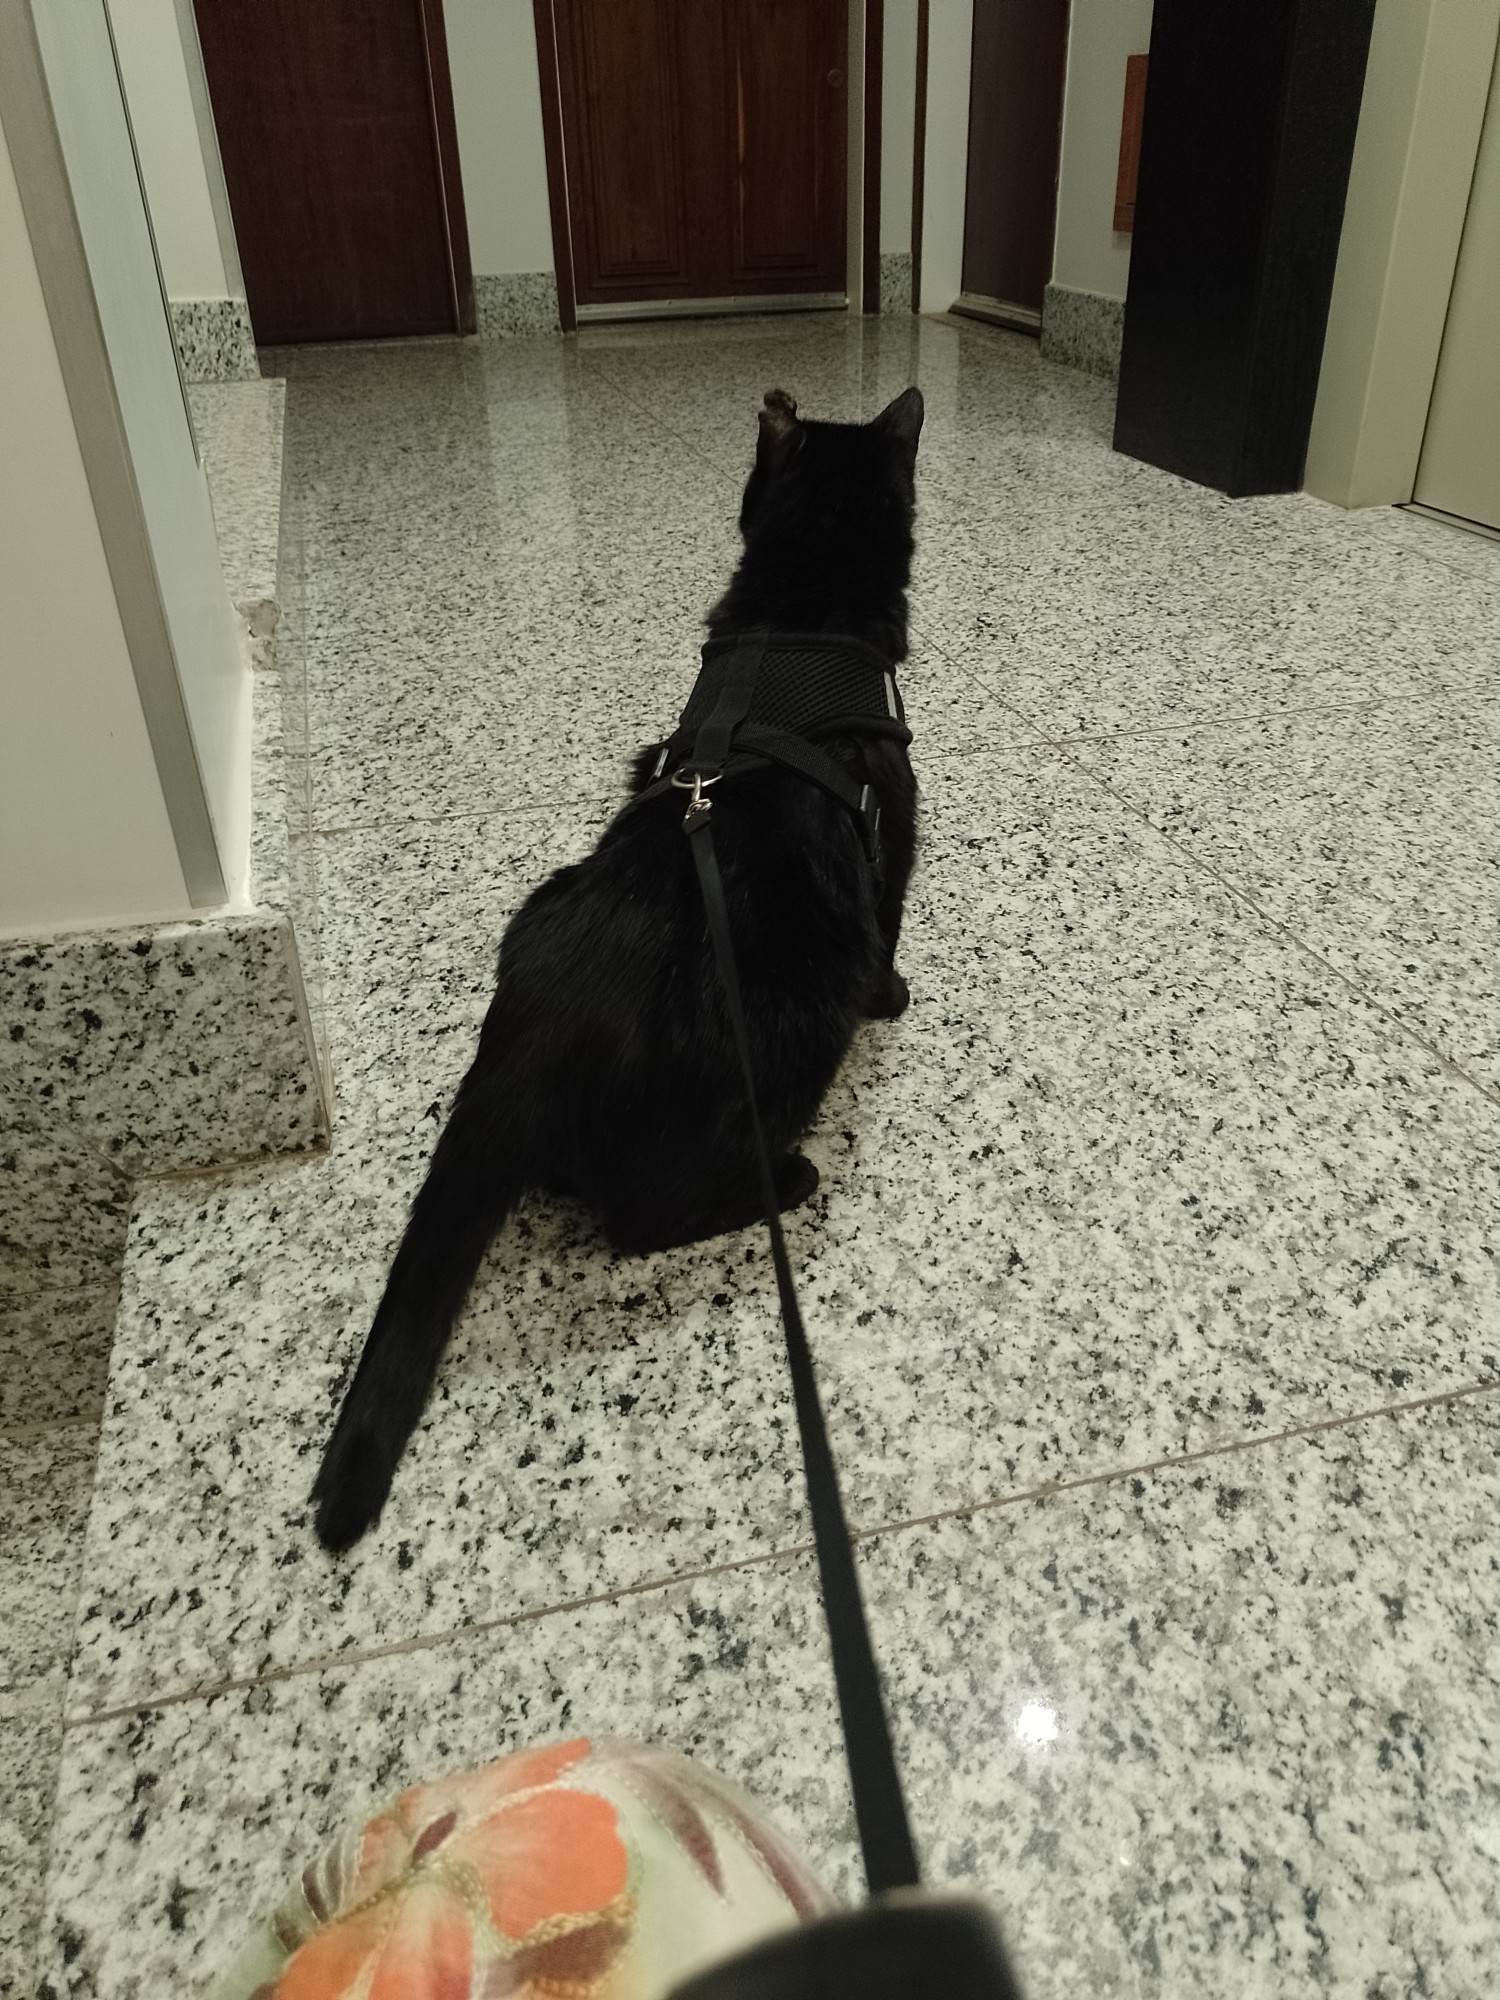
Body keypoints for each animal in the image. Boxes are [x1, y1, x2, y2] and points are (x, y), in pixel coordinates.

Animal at [312, 384, 924, 1552]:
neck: (798, 616)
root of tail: (531, 1039)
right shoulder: (895, 837)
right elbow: (896, 930)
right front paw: (900, 998)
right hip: (780, 1042)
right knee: (646, 1219)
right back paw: (787, 1178)